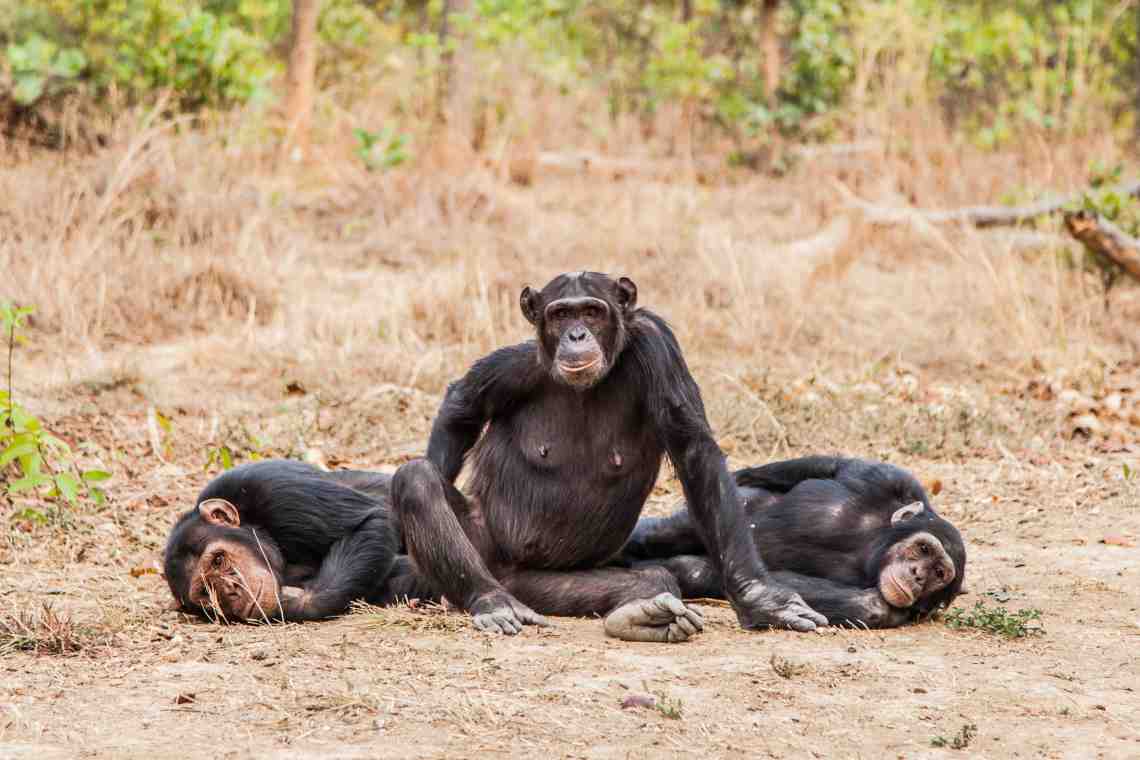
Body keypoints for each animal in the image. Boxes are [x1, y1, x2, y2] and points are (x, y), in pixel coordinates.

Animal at [168, 458, 430, 624]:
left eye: (218, 560)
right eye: (207, 591)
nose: (231, 589)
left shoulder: (269, 486)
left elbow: (369, 521)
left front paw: (293, 602)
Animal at [620, 455, 966, 628]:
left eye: (939, 573)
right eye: (923, 548)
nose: (918, 575)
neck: (872, 549)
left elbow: (874, 607)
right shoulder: (890, 479)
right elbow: (830, 466)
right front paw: (738, 476)